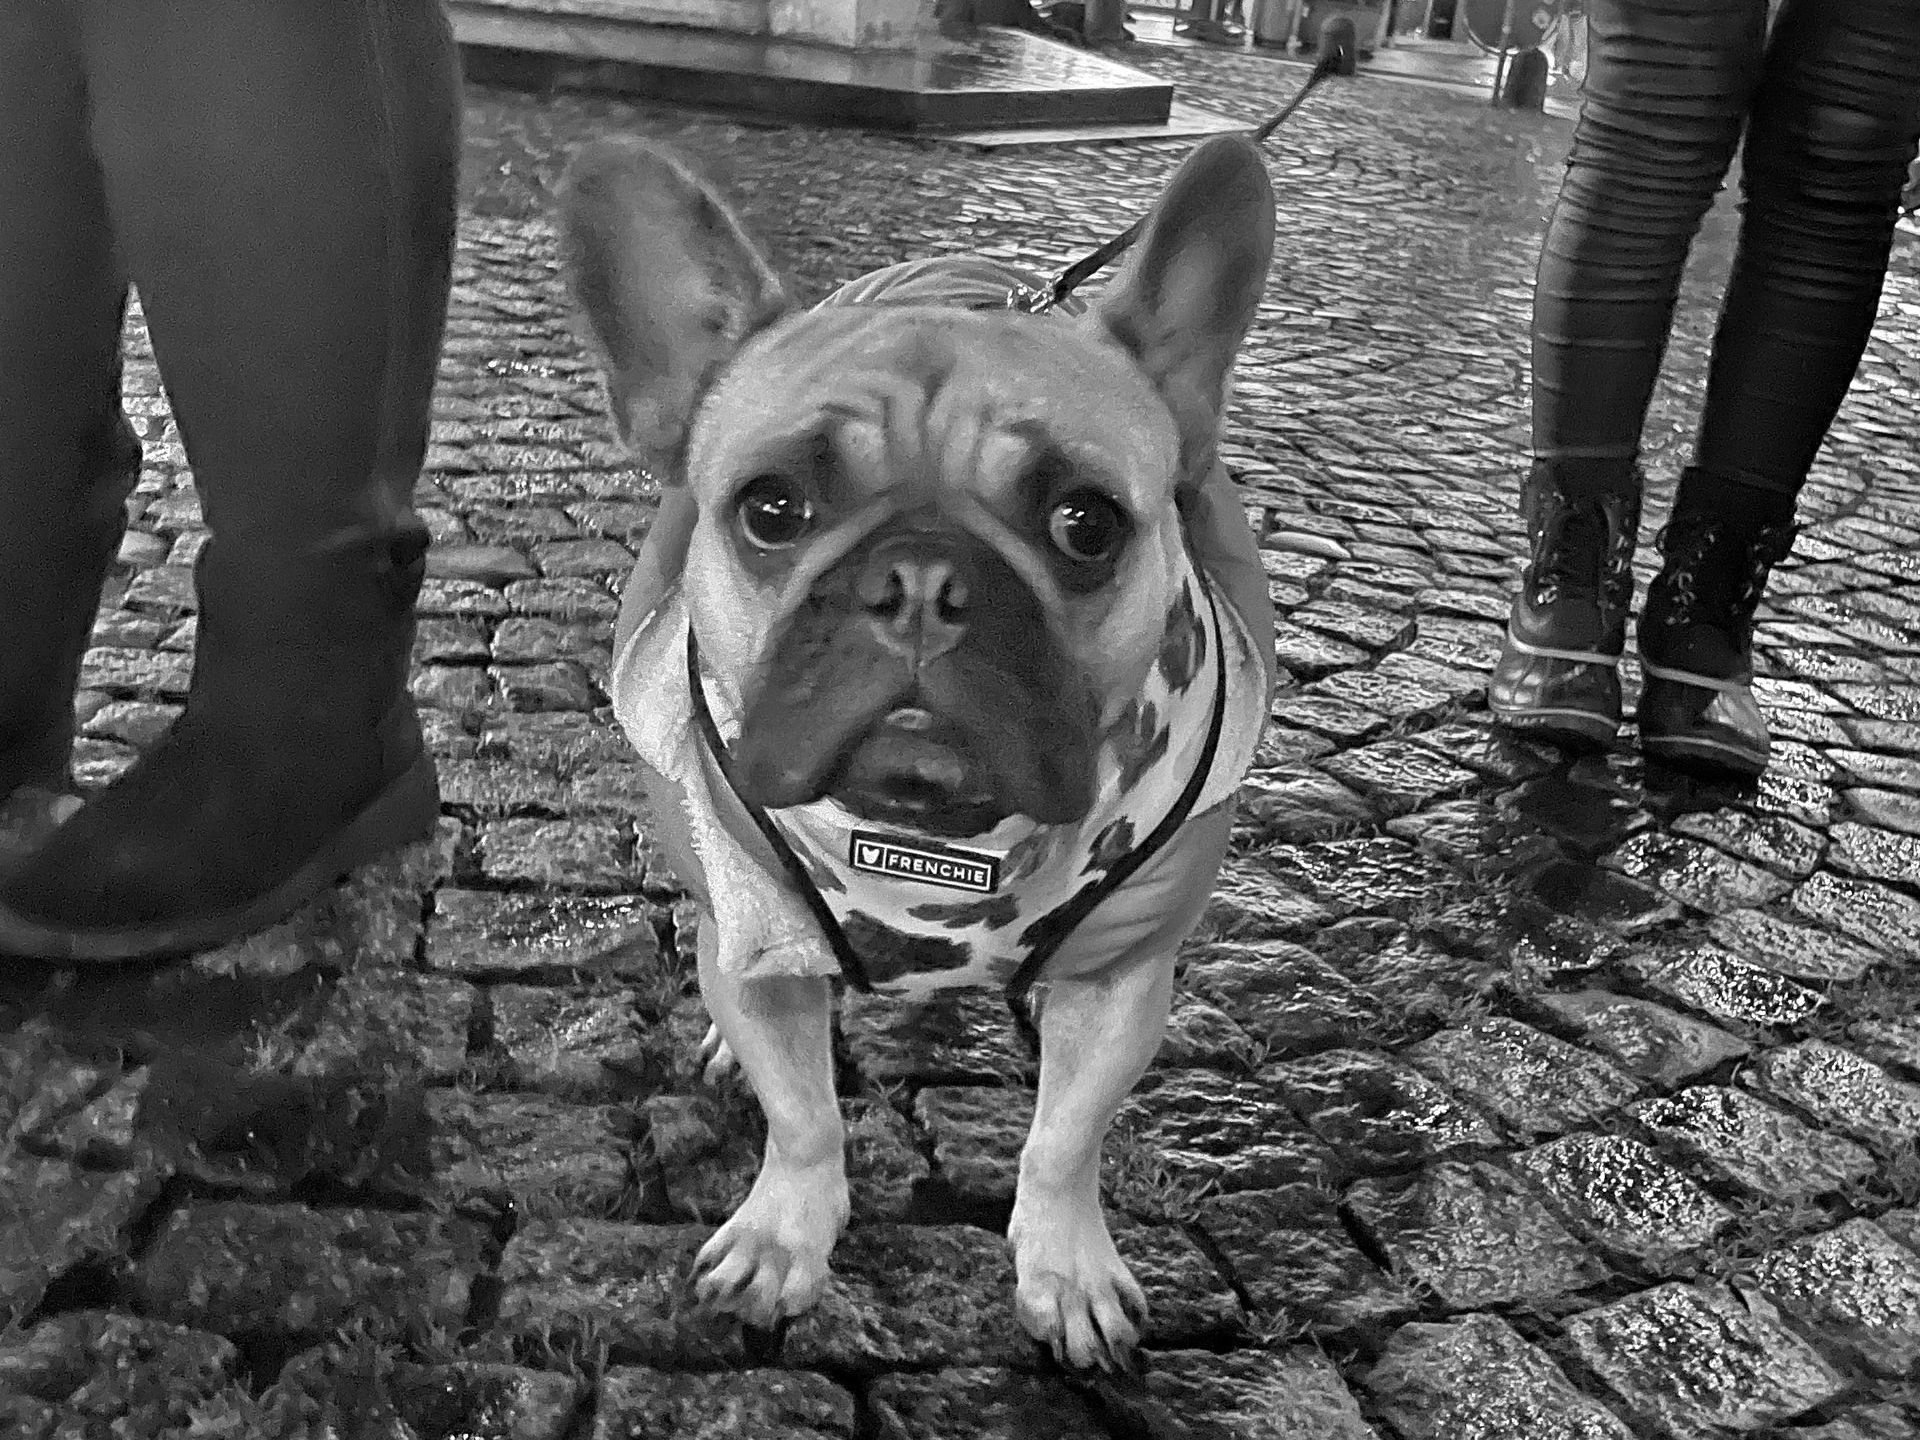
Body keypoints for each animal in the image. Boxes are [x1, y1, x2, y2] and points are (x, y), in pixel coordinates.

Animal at [556, 129, 1274, 1367]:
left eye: (1086, 524)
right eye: (771, 508)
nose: (923, 581)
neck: (939, 839)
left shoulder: (1123, 975)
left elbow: (1064, 1139)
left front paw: (1067, 1271)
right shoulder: (757, 924)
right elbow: (802, 1116)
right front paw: (784, 1240)